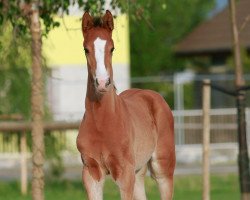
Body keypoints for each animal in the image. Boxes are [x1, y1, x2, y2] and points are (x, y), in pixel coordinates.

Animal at [76, 10, 176, 200]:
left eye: (112, 48)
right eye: (85, 49)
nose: (102, 83)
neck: (102, 123)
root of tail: (151, 94)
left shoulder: (124, 174)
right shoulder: (91, 173)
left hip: (162, 167)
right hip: (138, 170)